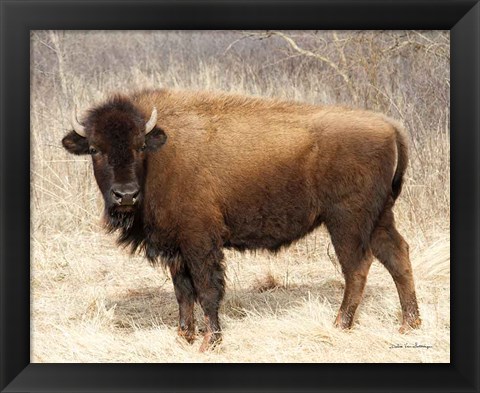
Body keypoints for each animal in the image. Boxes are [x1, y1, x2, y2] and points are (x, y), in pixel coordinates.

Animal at [62, 89, 420, 352]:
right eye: (94, 148)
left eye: (139, 146)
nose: (125, 195)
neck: (159, 154)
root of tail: (390, 126)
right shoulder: (176, 248)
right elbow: (183, 292)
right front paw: (184, 337)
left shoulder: (199, 241)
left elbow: (207, 289)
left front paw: (209, 342)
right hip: (379, 218)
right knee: (397, 256)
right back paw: (409, 324)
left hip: (346, 221)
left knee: (357, 267)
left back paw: (341, 324)